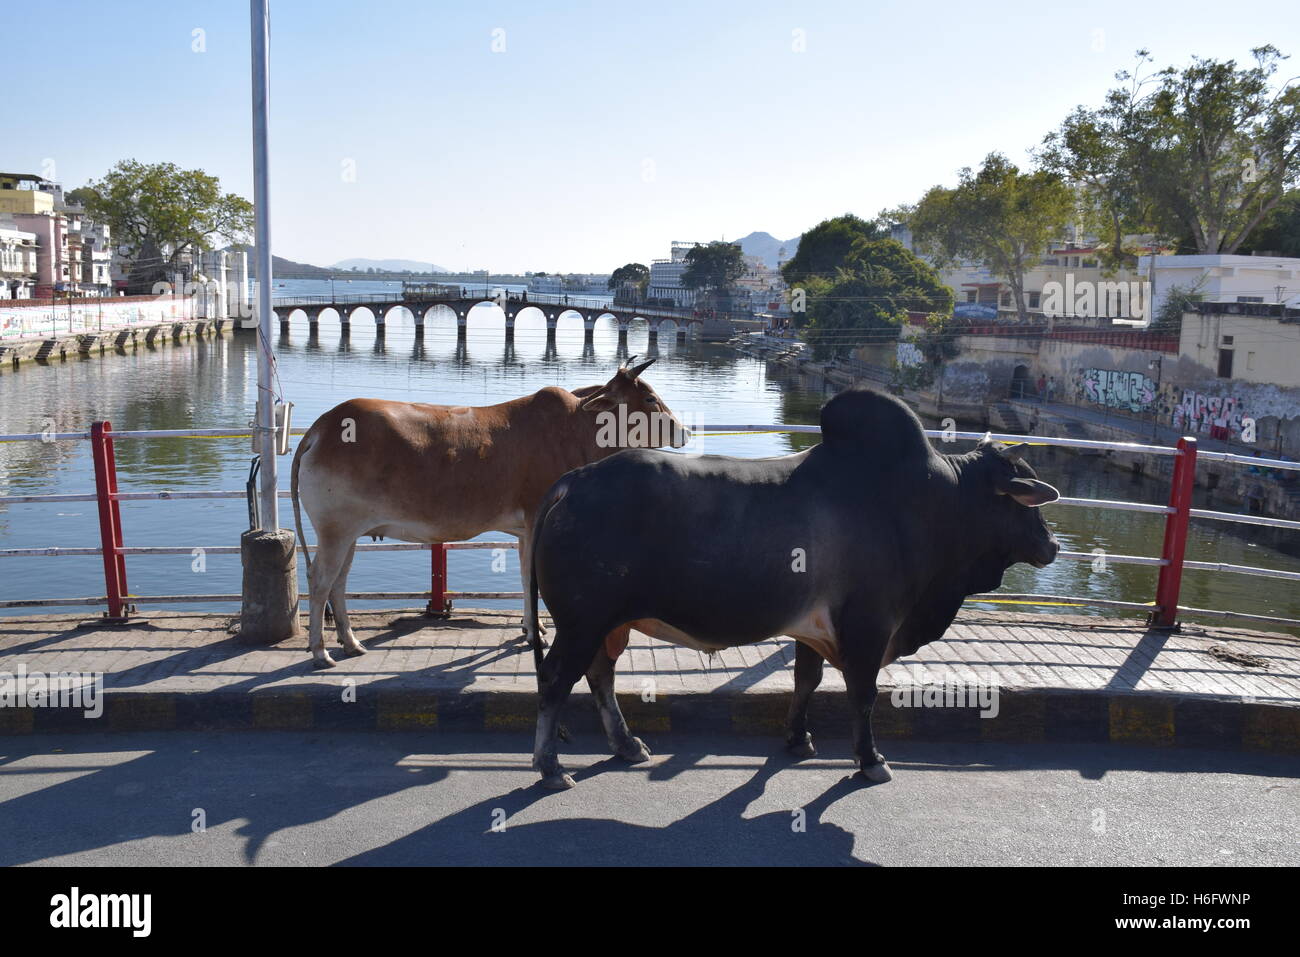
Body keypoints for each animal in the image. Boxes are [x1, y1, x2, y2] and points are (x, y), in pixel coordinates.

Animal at [289, 356, 686, 665]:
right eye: (649, 397)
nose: (682, 431)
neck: (576, 428)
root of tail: (323, 425)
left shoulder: (526, 529)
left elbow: (526, 579)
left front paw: (533, 628)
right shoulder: (536, 519)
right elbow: (530, 579)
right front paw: (536, 634)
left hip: (350, 534)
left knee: (339, 583)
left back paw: (351, 643)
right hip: (335, 531)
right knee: (320, 581)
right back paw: (320, 652)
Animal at [522, 384, 1060, 790]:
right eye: (1024, 500)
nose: (1053, 545)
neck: (935, 503)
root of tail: (572, 482)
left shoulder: (813, 629)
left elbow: (806, 681)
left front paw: (798, 740)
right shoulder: (868, 627)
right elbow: (862, 695)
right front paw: (871, 760)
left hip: (608, 623)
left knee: (600, 676)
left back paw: (626, 744)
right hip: (581, 622)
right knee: (556, 680)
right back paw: (550, 767)